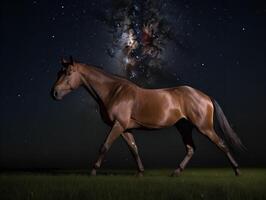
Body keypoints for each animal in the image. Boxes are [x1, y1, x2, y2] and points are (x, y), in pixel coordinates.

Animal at [51, 56, 244, 177]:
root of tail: (205, 96)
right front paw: (140, 173)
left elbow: (104, 147)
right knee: (190, 149)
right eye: (58, 73)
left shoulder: (118, 125)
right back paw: (176, 172)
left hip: (204, 128)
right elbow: (134, 149)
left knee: (222, 144)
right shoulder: (125, 128)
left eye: (68, 73)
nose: (54, 93)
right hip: (184, 127)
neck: (114, 92)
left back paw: (236, 171)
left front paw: (92, 172)